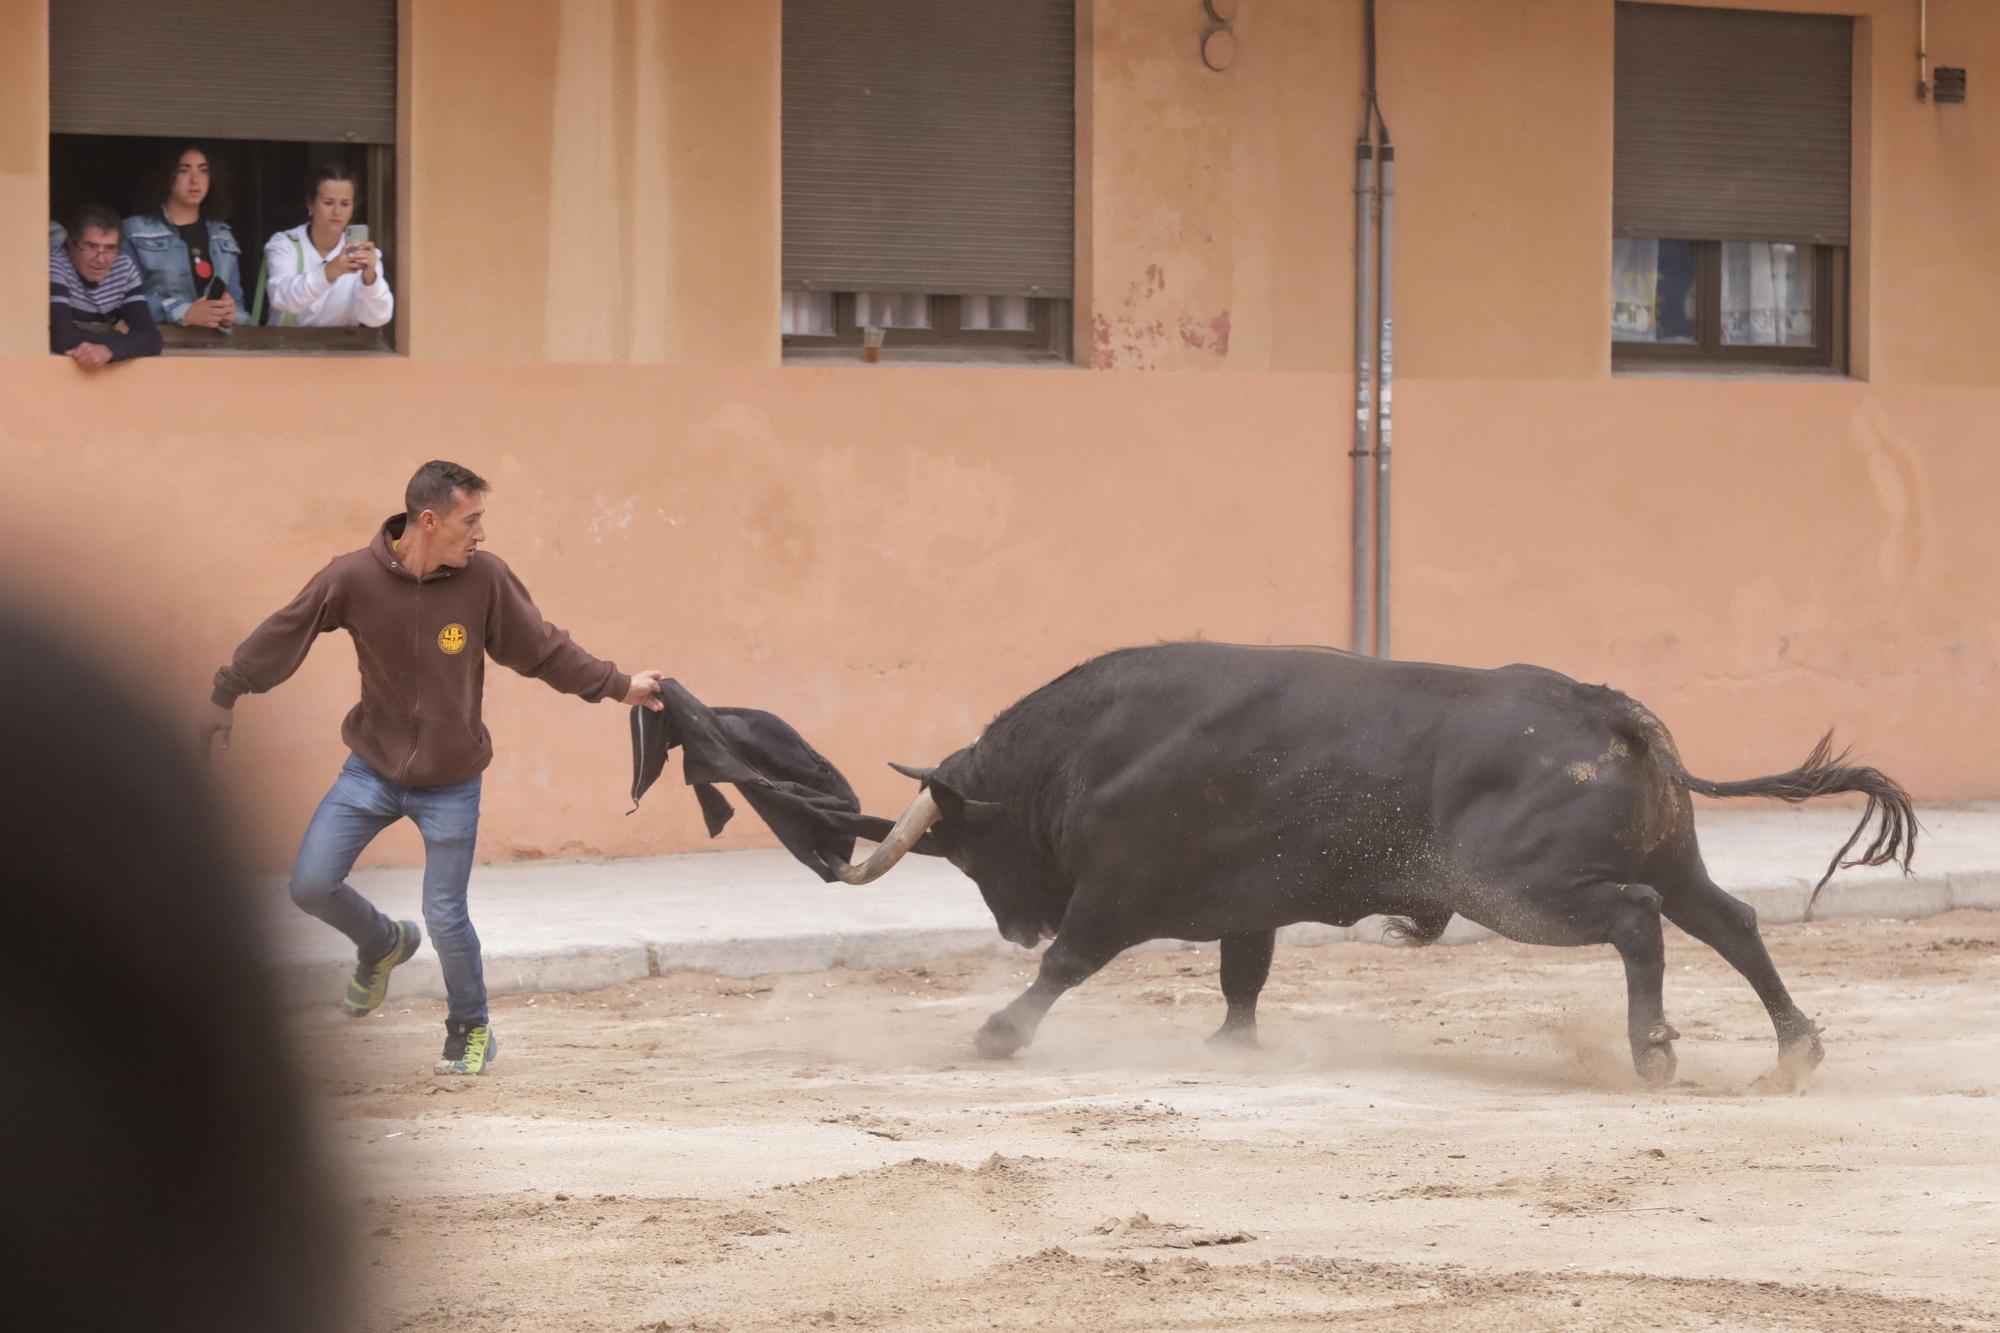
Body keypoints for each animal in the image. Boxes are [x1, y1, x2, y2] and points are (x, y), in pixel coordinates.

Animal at [836, 640, 1912, 1088]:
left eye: (970, 852)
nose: (1014, 924)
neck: (1088, 750)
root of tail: (1606, 707)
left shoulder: (1117, 892)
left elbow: (1070, 964)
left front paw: (997, 1033)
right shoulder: (1247, 903)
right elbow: (1242, 975)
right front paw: (1232, 1046)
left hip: (1515, 887)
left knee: (1636, 917)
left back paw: (1652, 1050)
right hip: (1671, 857)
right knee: (1729, 920)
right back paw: (1794, 1051)